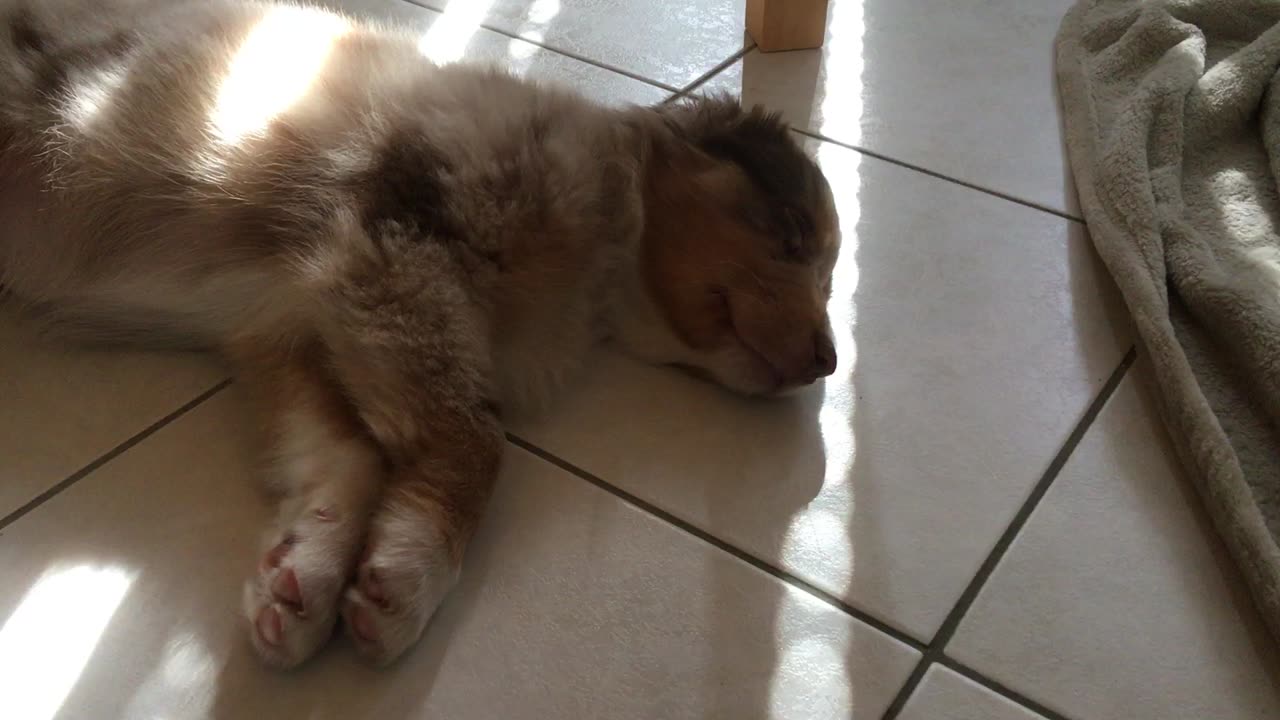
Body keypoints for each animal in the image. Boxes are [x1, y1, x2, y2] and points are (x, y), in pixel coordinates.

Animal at [0, 0, 839, 666]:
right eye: (793, 236)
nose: (829, 362)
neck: (607, 235)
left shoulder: (291, 326)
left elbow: (344, 453)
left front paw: (305, 574)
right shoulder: (397, 248)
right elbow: (479, 438)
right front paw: (412, 574)